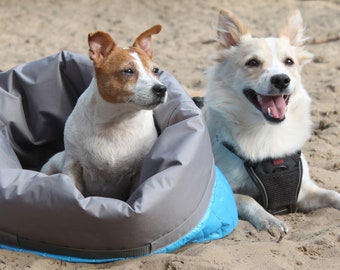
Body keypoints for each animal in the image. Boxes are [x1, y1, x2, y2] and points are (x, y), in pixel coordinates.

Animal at [41, 25, 167, 199]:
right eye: (128, 71)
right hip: (50, 165)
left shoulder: (138, 172)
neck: (117, 122)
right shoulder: (73, 165)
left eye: (155, 70)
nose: (161, 89)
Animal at [203, 8, 338, 238]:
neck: (268, 130)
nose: (281, 79)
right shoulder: (227, 192)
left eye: (289, 62)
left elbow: (333, 194)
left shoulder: (304, 192)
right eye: (252, 63)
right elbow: (248, 199)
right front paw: (269, 220)